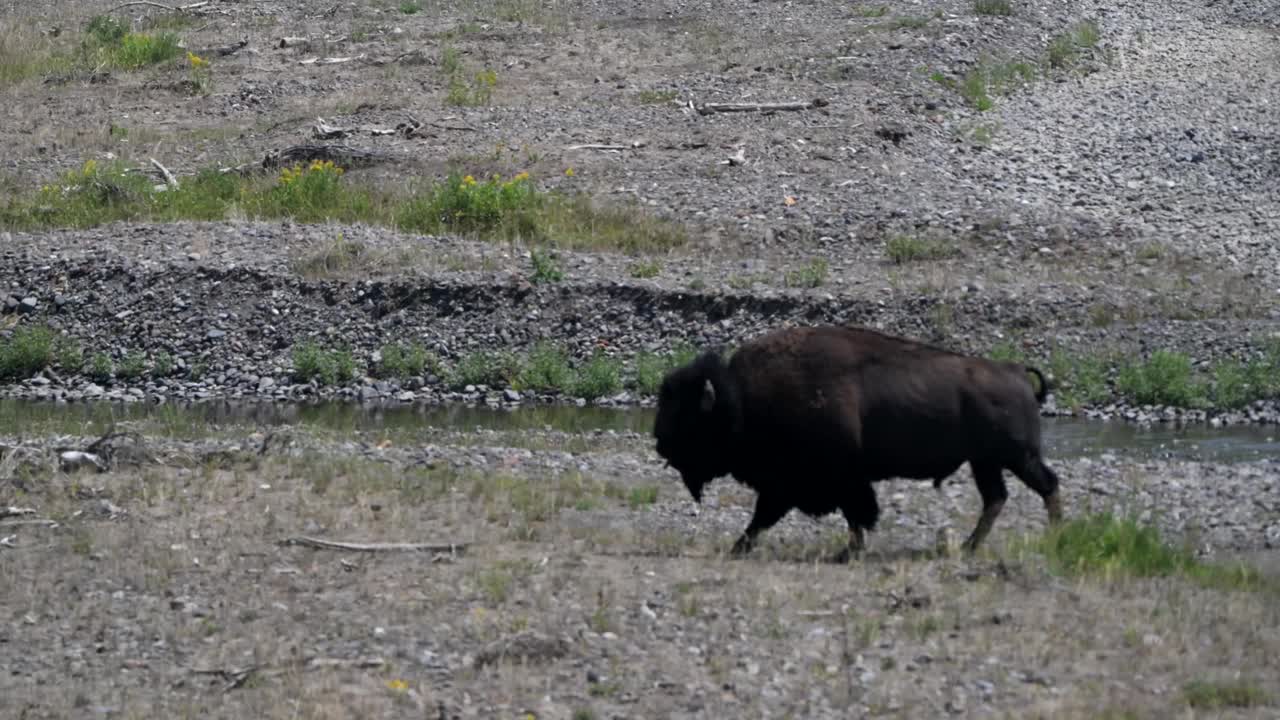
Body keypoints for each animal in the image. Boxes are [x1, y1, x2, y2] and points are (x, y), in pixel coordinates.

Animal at [655, 322, 1064, 558]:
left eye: (688, 418)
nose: (659, 441)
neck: (739, 400)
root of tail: (1015, 371)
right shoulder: (801, 484)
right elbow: (771, 517)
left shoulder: (831, 479)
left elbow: (850, 513)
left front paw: (848, 551)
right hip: (985, 462)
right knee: (997, 497)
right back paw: (969, 547)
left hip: (1016, 456)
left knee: (1045, 484)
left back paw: (1054, 535)